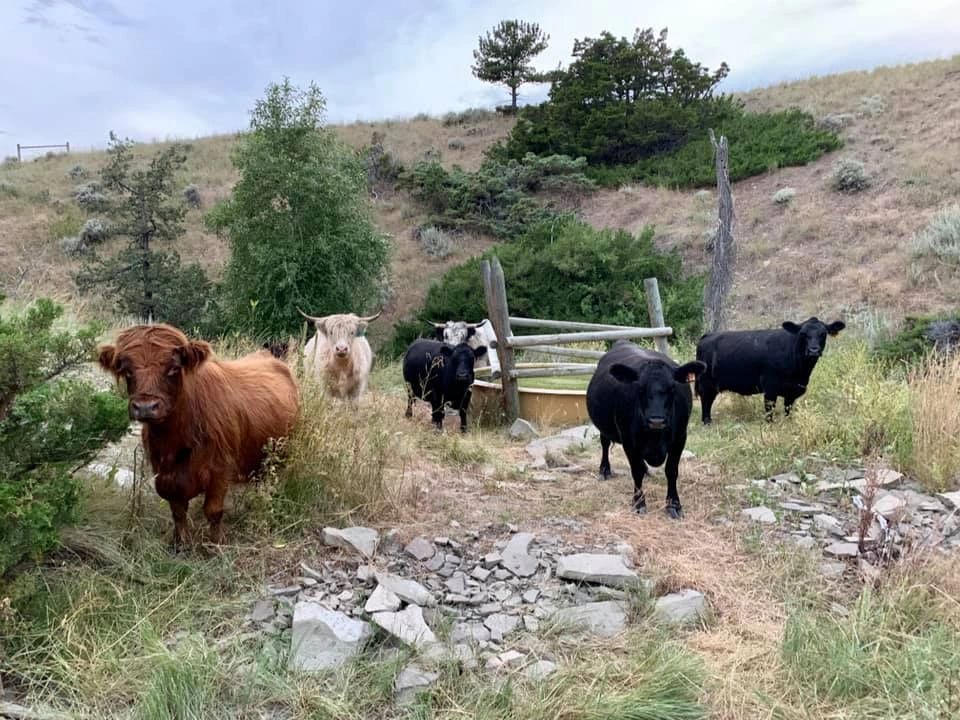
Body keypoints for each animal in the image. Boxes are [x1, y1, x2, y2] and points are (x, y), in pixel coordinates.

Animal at [97, 324, 299, 548]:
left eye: (173, 369)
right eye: (127, 371)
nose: (145, 407)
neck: (174, 439)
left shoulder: (221, 469)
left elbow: (213, 511)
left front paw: (216, 545)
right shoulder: (165, 474)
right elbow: (178, 512)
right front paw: (182, 544)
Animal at [586, 340, 706, 518]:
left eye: (672, 388)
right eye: (640, 388)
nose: (656, 420)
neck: (655, 438)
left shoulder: (680, 438)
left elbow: (671, 470)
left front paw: (674, 504)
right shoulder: (629, 441)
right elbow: (636, 471)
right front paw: (639, 503)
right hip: (605, 427)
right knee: (605, 444)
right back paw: (604, 470)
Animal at [695, 317, 845, 424]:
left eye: (823, 334)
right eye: (803, 334)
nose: (813, 350)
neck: (800, 372)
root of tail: (707, 336)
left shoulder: (792, 391)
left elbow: (788, 409)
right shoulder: (770, 387)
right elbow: (769, 409)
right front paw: (770, 424)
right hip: (706, 383)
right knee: (706, 400)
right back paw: (707, 422)